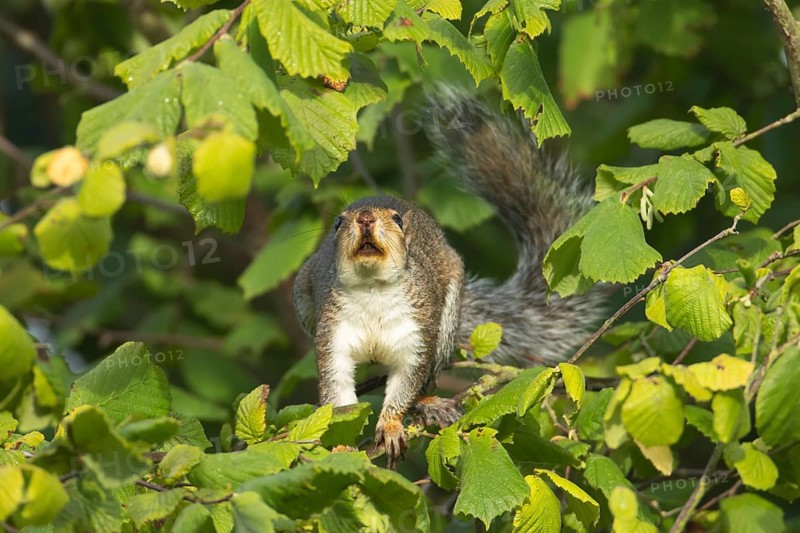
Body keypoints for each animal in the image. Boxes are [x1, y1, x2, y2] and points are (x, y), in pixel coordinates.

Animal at [293, 91, 604, 466]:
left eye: (398, 220)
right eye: (338, 222)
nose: (365, 218)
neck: (373, 290)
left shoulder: (417, 336)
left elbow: (406, 382)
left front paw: (392, 425)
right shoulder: (333, 334)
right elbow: (337, 392)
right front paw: (340, 446)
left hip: (445, 321)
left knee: (426, 380)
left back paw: (429, 404)